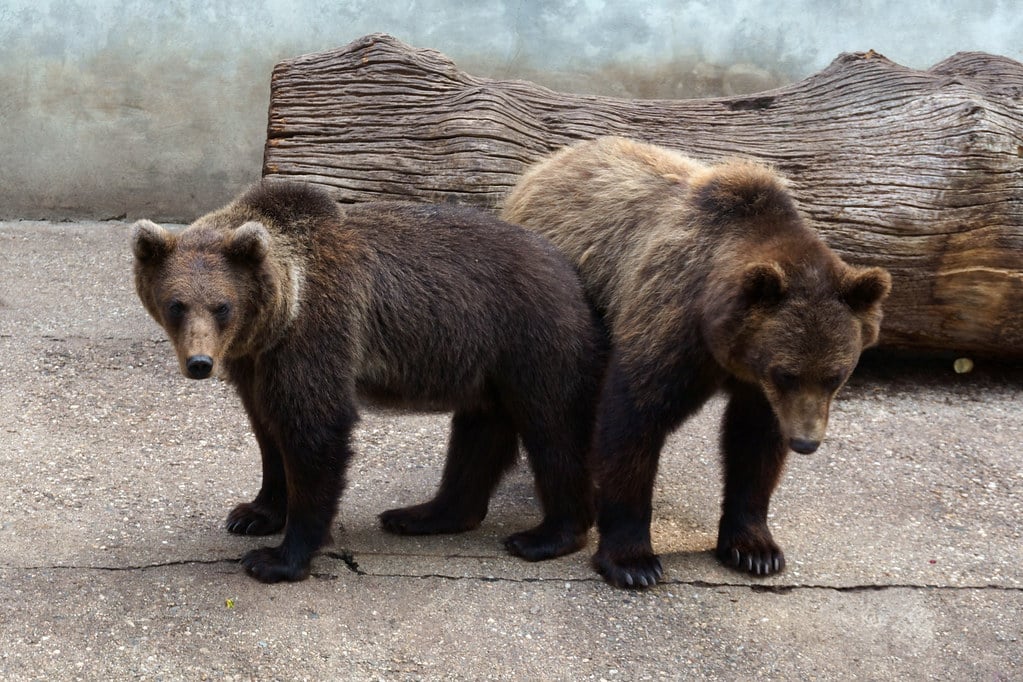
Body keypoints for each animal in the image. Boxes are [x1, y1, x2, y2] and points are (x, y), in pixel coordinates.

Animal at [131, 179, 606, 583]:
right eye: (176, 304)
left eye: (222, 306)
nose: (200, 362)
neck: (279, 316)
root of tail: (571, 271)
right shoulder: (256, 363)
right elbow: (268, 430)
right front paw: (252, 513)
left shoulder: (318, 332)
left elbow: (315, 429)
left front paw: (278, 558)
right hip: (486, 368)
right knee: (478, 436)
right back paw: (422, 514)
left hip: (533, 338)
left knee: (552, 430)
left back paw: (544, 536)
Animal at [501, 136, 892, 588]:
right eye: (786, 373)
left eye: (835, 376)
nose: (806, 442)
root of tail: (544, 165)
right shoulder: (669, 323)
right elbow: (633, 419)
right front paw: (633, 561)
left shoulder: (759, 388)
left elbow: (754, 444)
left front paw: (755, 550)